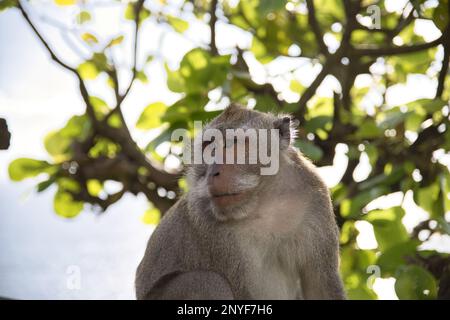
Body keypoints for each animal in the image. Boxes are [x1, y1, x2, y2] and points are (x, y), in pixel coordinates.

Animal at [135, 103, 346, 300]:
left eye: (234, 144)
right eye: (209, 147)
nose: (213, 173)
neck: (265, 200)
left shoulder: (315, 197)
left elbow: (320, 287)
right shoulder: (213, 232)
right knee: (208, 281)